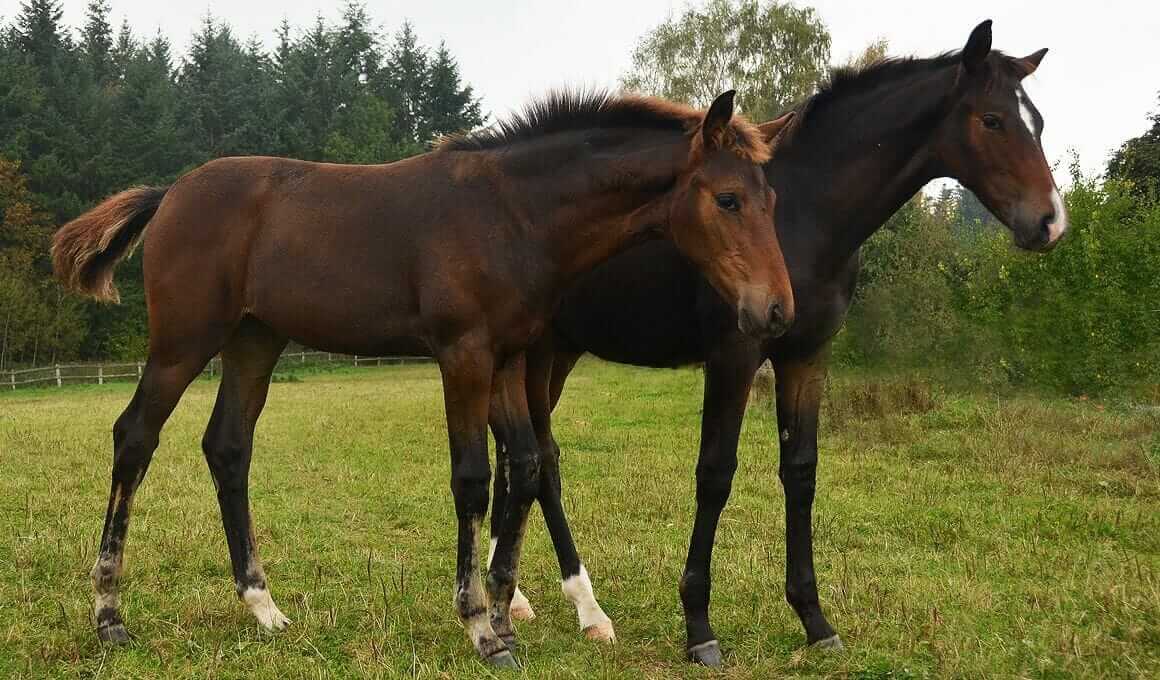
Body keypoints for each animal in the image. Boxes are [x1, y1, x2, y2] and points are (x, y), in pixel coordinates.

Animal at [52, 90, 799, 666]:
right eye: (728, 199)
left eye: (771, 199)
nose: (776, 310)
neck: (512, 213)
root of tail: (171, 192)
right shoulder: (463, 354)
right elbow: (472, 478)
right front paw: (480, 629)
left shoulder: (510, 358)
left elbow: (525, 468)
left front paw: (504, 616)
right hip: (183, 343)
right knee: (134, 438)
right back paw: (110, 615)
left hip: (254, 340)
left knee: (228, 448)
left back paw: (263, 608)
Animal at [488, 21, 1068, 665]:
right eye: (992, 119)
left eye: (1038, 122)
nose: (1050, 222)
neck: (806, 216)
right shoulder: (734, 355)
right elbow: (715, 474)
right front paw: (699, 626)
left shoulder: (806, 356)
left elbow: (801, 472)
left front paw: (815, 619)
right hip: (532, 353)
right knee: (534, 462)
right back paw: (571, 607)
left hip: (554, 354)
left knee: (524, 459)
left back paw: (533, 604)